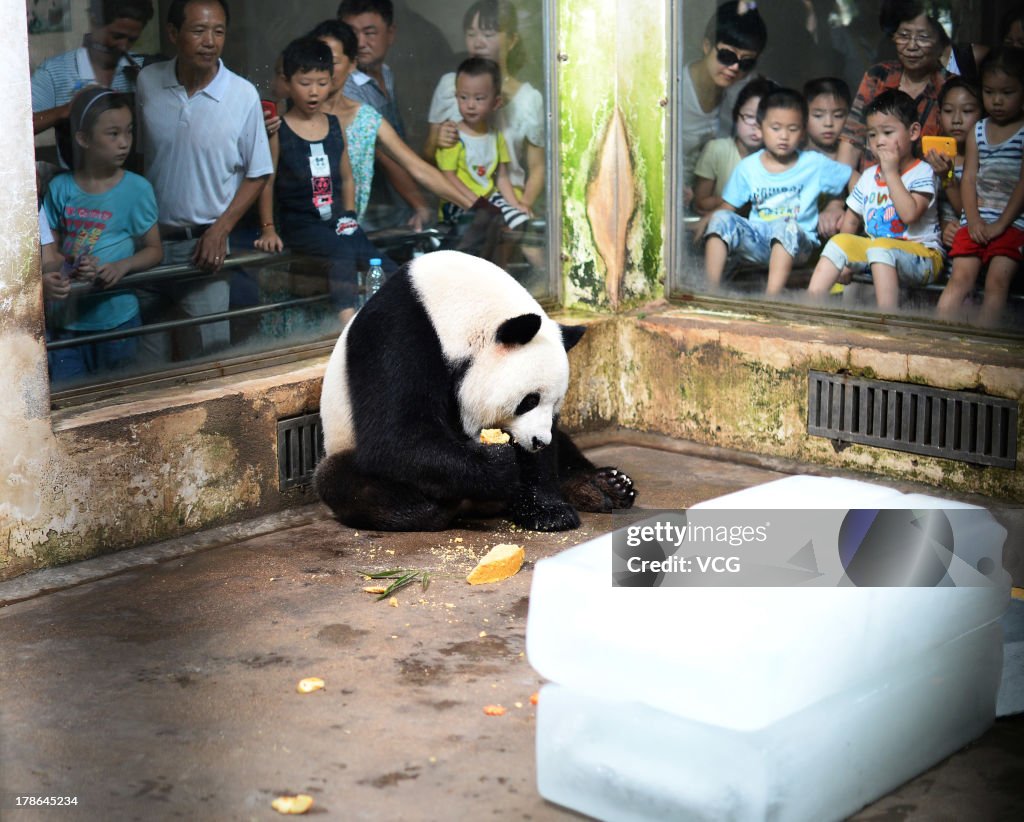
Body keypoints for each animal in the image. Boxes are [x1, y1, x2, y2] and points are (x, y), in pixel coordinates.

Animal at [311, 250, 634, 532]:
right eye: (529, 400)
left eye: (555, 405)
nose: (540, 441)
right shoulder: (397, 335)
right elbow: (397, 437)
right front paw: (499, 465)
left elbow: (540, 462)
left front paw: (548, 511)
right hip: (342, 449)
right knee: (342, 480)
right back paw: (426, 510)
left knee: (567, 447)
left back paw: (605, 485)